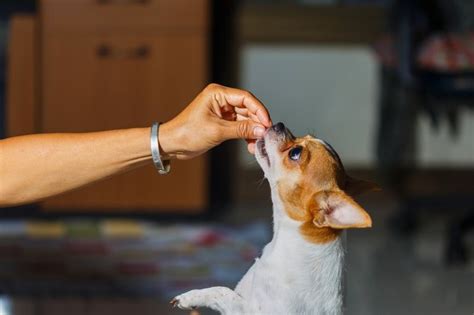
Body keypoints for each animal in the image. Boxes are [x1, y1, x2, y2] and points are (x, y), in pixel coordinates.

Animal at [170, 122, 378, 314]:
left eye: (295, 153)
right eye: (306, 136)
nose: (279, 125)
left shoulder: (245, 309)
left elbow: (222, 291)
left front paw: (190, 297)